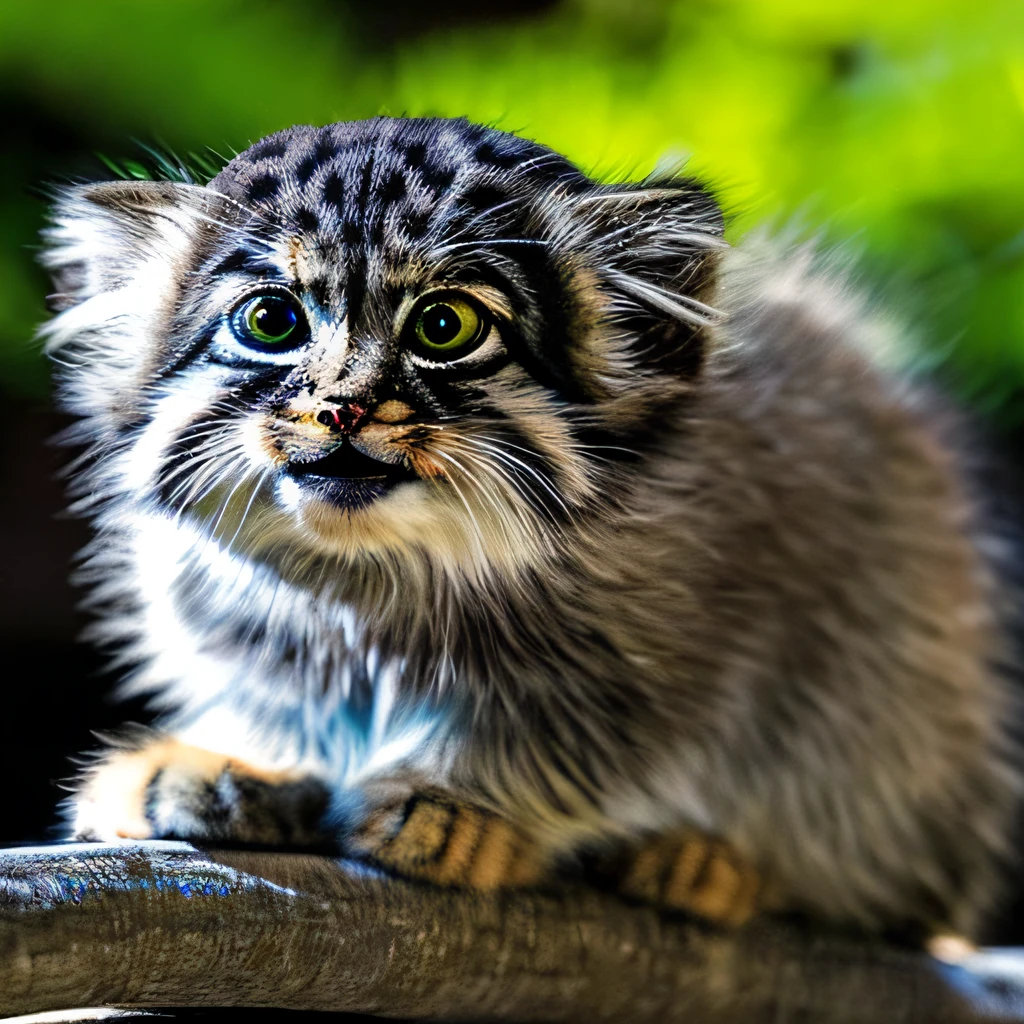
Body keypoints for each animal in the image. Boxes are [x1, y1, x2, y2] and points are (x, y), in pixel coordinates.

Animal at [37, 116, 1015, 937]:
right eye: (272, 320)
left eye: (445, 326)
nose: (344, 407)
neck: (382, 582)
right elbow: (279, 699)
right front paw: (246, 765)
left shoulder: (708, 632)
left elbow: (573, 739)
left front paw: (459, 802)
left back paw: (711, 864)